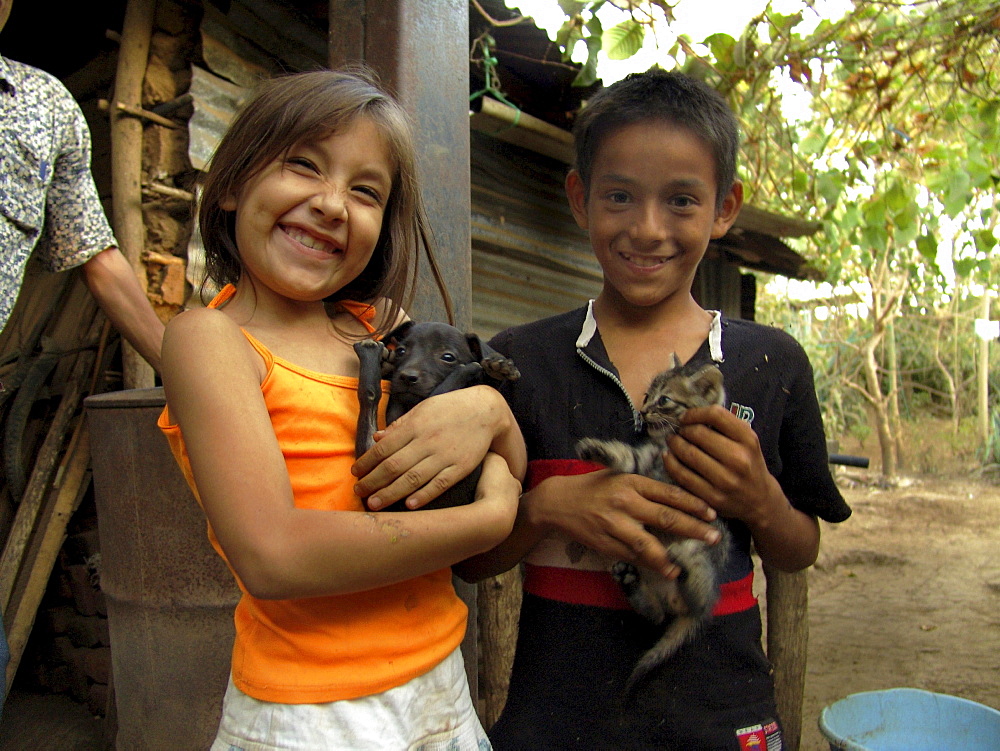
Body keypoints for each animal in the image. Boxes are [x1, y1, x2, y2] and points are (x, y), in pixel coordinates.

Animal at [576, 356, 732, 692]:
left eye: (664, 401)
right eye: (648, 395)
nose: (644, 411)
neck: (669, 443)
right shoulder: (641, 463)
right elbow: (625, 457)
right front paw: (597, 449)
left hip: (712, 543)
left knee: (700, 601)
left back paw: (687, 568)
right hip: (653, 584)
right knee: (657, 616)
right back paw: (631, 583)